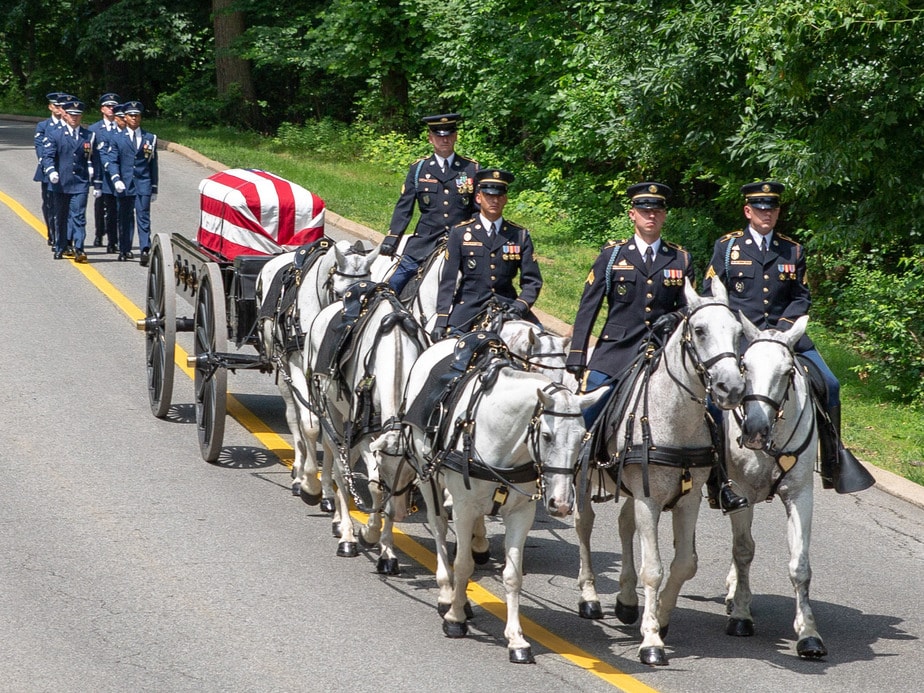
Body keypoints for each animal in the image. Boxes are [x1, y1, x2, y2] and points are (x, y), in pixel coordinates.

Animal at [256, 238, 378, 508]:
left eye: (368, 291)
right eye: (341, 293)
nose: (351, 328)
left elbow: (330, 438)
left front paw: (329, 492)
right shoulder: (297, 368)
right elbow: (310, 426)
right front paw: (309, 484)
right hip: (284, 368)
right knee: (294, 417)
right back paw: (299, 471)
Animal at [306, 284, 430, 560]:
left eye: (411, 473)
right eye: (385, 470)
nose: (402, 512)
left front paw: (387, 552)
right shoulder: (363, 437)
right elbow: (373, 486)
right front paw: (368, 533)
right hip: (333, 414)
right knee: (341, 471)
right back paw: (347, 535)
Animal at [404, 338, 608, 664]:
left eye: (582, 438)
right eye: (547, 436)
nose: (562, 503)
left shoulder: (521, 512)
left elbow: (512, 576)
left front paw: (516, 639)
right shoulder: (462, 506)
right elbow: (462, 564)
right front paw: (455, 618)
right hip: (427, 477)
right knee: (438, 529)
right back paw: (447, 594)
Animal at [572, 280, 748, 664]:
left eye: (739, 332)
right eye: (700, 330)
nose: (731, 388)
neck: (674, 420)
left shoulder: (687, 500)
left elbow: (685, 564)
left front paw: (662, 619)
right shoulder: (649, 500)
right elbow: (653, 568)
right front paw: (651, 640)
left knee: (624, 524)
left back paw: (625, 601)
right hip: (581, 482)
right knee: (584, 524)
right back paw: (589, 596)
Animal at [720, 314, 824, 660]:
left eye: (788, 371)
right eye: (745, 366)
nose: (754, 430)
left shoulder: (800, 496)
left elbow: (799, 565)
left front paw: (809, 633)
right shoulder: (740, 491)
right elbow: (743, 551)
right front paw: (741, 616)